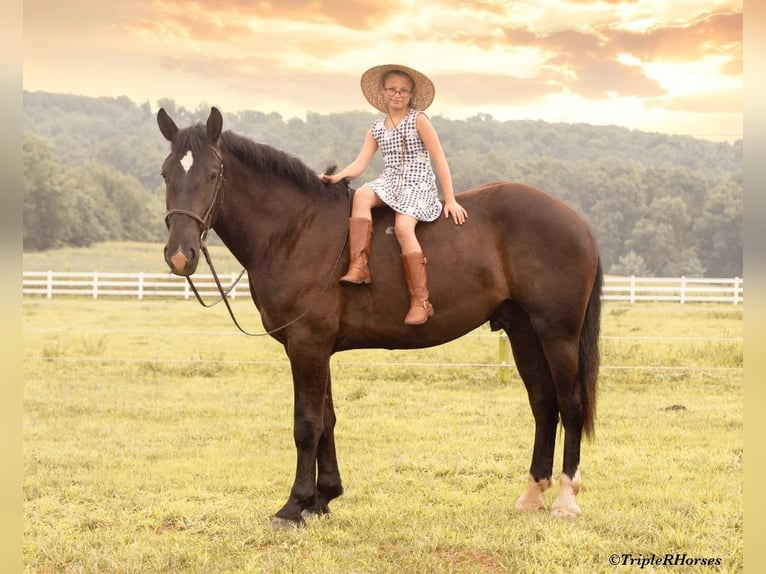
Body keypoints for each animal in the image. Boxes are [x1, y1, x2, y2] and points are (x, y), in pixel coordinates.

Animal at [159, 107, 604, 528]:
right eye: (165, 173)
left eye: (212, 174)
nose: (180, 255)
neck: (295, 229)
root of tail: (576, 220)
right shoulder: (318, 348)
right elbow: (327, 420)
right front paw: (323, 499)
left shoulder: (307, 345)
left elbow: (307, 424)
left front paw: (293, 506)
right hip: (523, 332)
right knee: (544, 404)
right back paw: (532, 494)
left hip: (557, 333)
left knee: (570, 404)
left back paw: (566, 499)